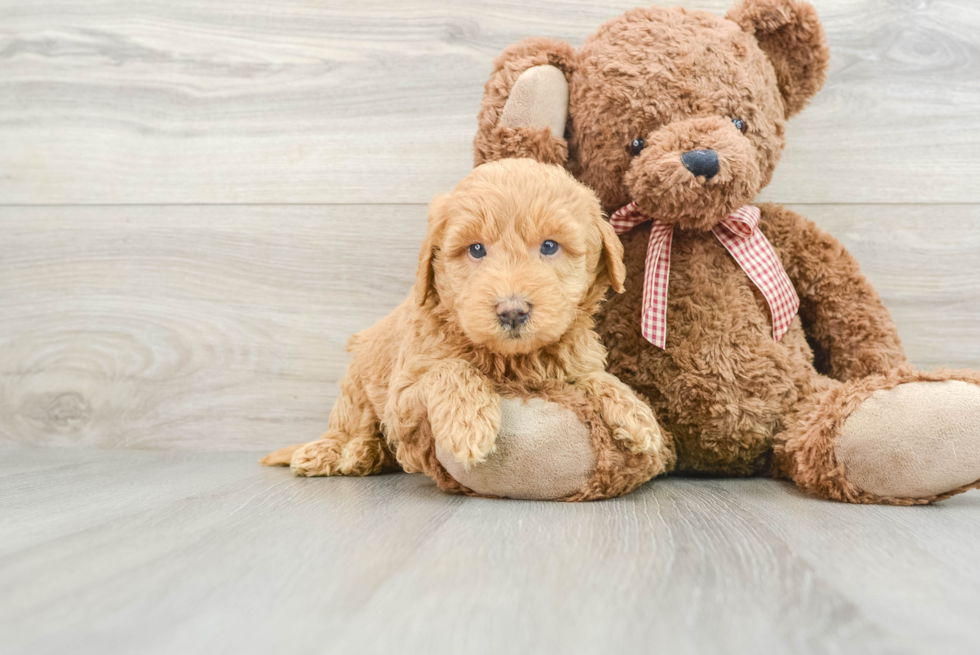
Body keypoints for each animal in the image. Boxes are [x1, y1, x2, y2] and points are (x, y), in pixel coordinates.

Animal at [260, 157, 664, 480]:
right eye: (476, 249)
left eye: (550, 246)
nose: (512, 310)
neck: (511, 360)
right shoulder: (403, 394)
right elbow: (450, 368)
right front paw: (468, 424)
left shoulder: (570, 360)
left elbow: (595, 376)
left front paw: (638, 414)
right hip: (358, 385)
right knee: (349, 426)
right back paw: (338, 452)